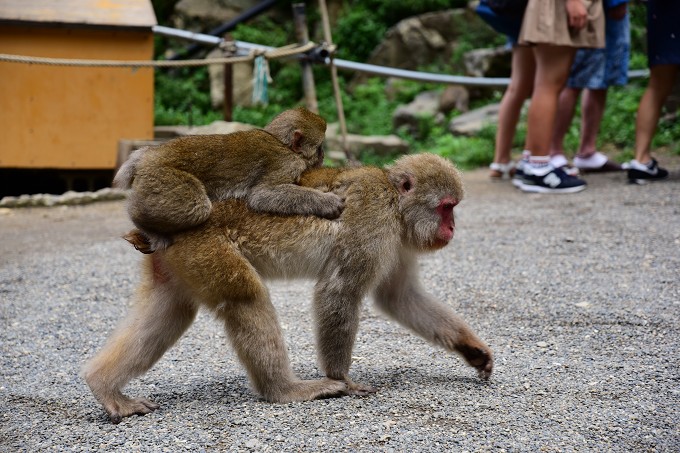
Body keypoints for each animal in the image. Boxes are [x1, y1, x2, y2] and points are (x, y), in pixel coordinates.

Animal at [115, 107, 346, 252]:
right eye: (319, 147)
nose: (323, 155)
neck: (281, 143)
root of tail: (148, 155)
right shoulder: (286, 163)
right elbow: (262, 195)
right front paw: (327, 202)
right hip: (162, 176)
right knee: (197, 207)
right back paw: (144, 225)